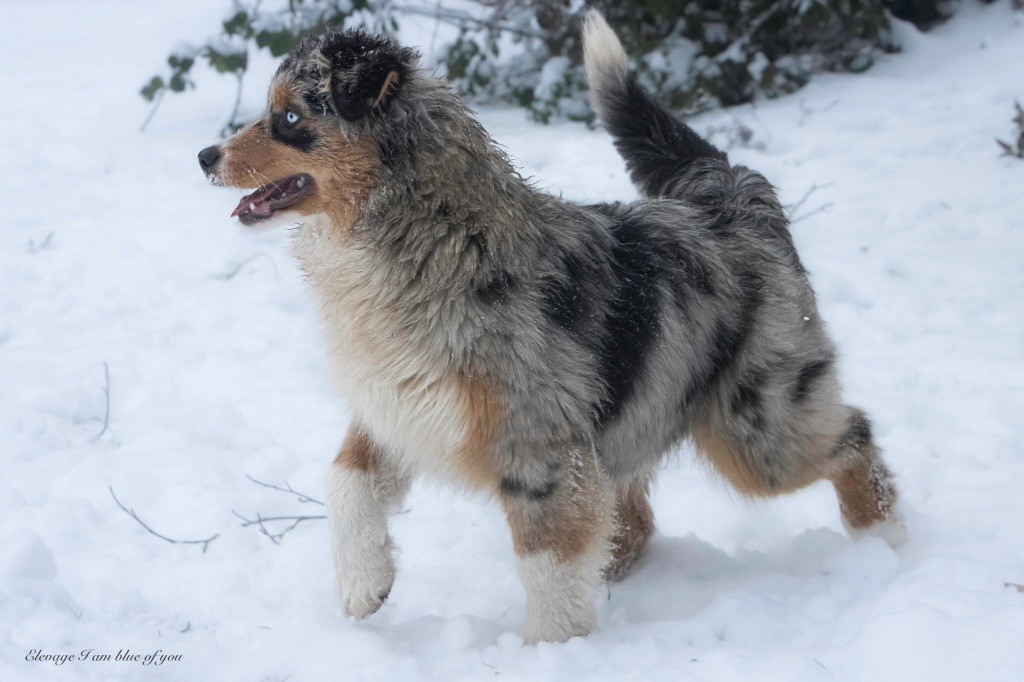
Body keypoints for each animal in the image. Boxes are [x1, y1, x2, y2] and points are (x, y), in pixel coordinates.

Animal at [199, 11, 905, 643]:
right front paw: (361, 587)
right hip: (634, 425)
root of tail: (730, 196)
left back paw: (887, 546)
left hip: (759, 428)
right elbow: (345, 482)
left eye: (291, 118)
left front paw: (551, 650)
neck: (426, 238)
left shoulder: (537, 443)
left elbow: (545, 563)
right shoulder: (399, 406)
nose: (205, 155)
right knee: (633, 519)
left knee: (853, 435)